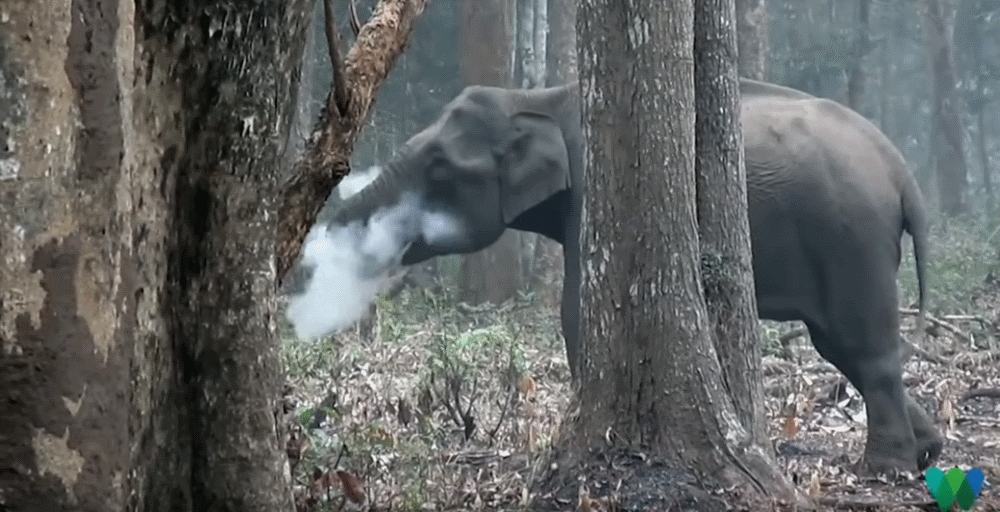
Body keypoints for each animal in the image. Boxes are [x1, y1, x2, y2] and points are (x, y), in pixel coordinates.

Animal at [329, 79, 942, 474]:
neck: (537, 98)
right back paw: (928, 451)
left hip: (852, 239)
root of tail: (903, 172)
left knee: (864, 348)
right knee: (842, 346)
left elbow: (576, 308)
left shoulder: (596, 191)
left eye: (438, 167)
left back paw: (883, 470)